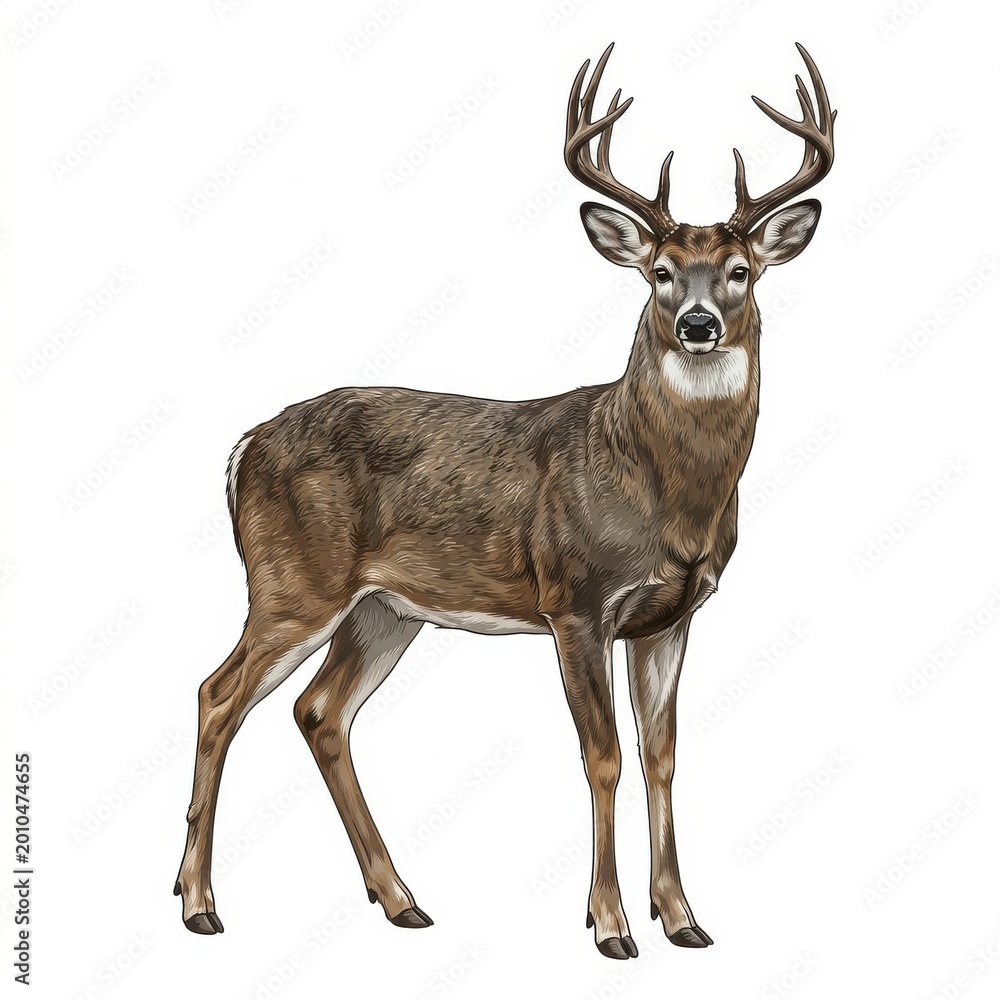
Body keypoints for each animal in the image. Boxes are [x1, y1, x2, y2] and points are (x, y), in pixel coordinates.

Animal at [175, 42, 835, 960]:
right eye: (661, 274)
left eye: (740, 272)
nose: (699, 324)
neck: (660, 488)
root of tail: (244, 446)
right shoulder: (575, 600)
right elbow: (603, 757)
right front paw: (610, 925)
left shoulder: (671, 616)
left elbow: (662, 755)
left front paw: (684, 919)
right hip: (293, 580)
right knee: (217, 694)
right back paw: (200, 902)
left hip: (385, 607)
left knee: (319, 711)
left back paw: (400, 898)